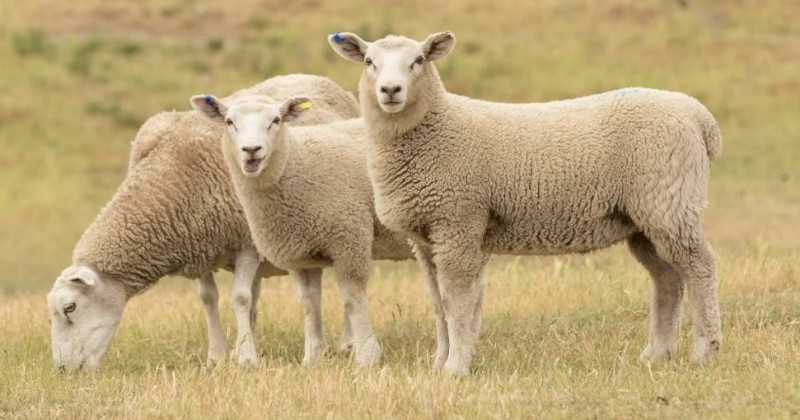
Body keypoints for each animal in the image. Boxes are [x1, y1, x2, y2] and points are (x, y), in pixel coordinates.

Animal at [46, 74, 360, 371]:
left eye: (69, 308)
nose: (63, 369)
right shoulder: (199, 244)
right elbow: (209, 298)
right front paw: (218, 357)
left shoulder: (247, 244)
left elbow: (240, 298)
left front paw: (246, 359)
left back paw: (348, 343)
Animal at [190, 95, 419, 366]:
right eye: (229, 122)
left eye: (276, 120)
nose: (251, 150)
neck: (298, 161)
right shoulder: (302, 254)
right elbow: (310, 303)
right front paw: (312, 358)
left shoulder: (350, 237)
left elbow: (353, 299)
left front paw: (367, 355)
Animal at [329, 31, 723, 375]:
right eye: (369, 62)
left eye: (419, 61)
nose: (390, 90)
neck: (436, 129)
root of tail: (699, 116)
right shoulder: (426, 236)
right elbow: (438, 303)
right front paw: (439, 363)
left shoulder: (458, 221)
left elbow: (456, 300)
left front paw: (456, 368)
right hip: (643, 219)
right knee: (667, 278)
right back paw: (657, 354)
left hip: (670, 202)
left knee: (700, 267)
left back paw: (705, 350)